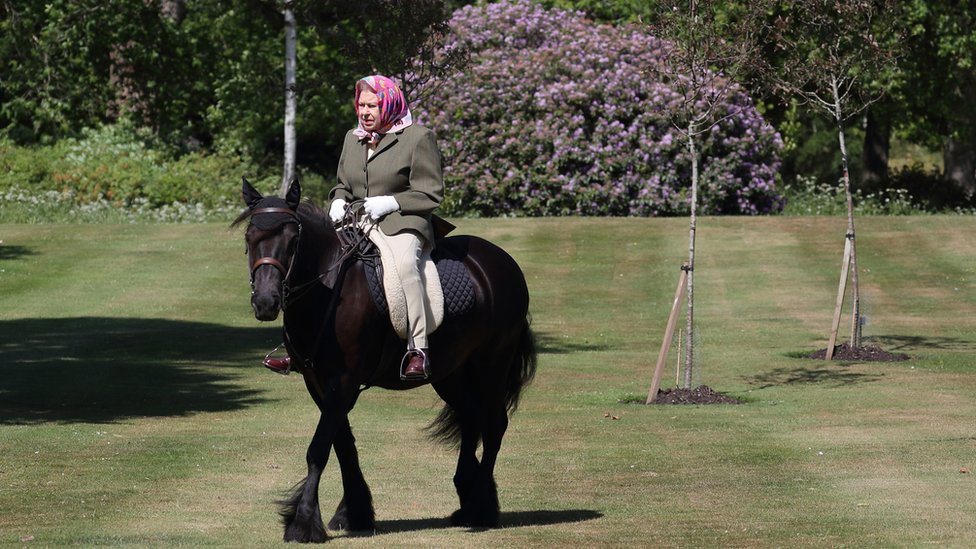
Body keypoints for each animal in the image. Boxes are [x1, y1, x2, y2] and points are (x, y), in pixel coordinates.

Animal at [234, 178, 536, 540]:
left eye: (293, 240)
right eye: (250, 238)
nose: (266, 302)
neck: (328, 287)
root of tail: (501, 261)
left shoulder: (344, 381)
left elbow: (319, 448)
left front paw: (303, 522)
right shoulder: (318, 382)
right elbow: (343, 445)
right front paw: (354, 513)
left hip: (491, 364)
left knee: (492, 426)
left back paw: (480, 507)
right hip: (451, 373)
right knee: (470, 418)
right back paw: (468, 497)